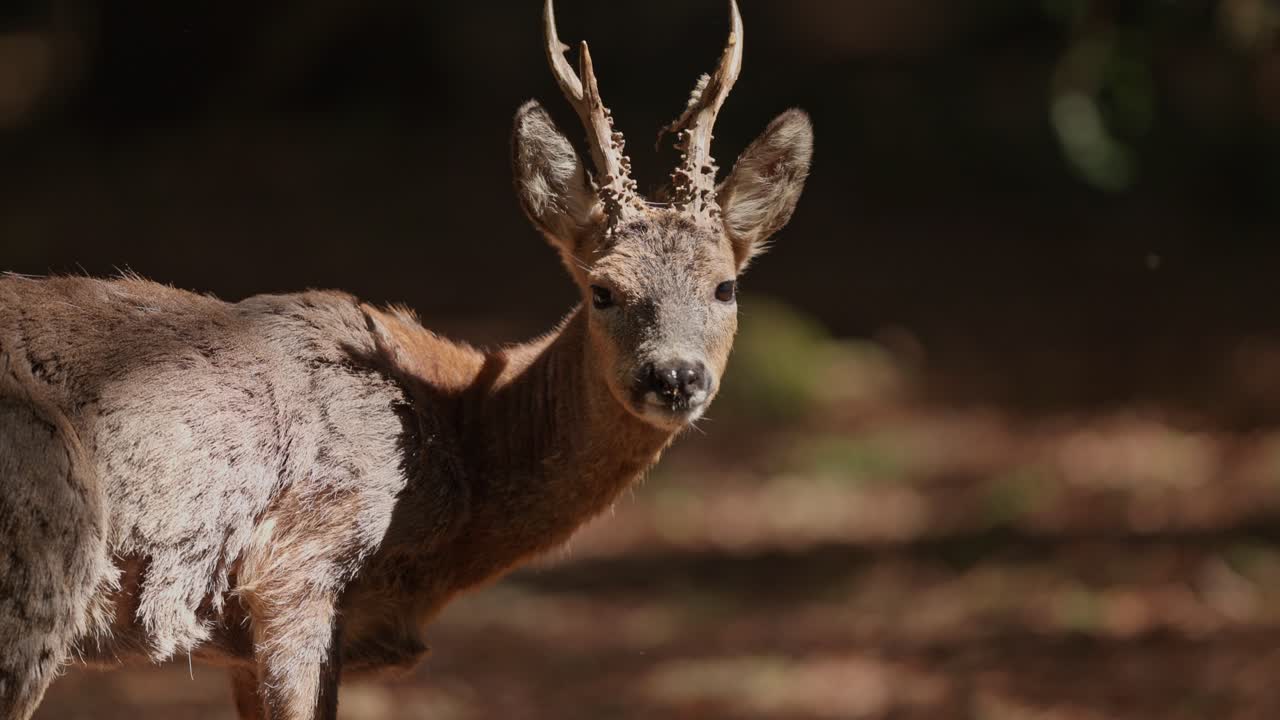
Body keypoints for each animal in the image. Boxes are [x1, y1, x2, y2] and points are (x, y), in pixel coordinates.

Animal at [0, 1, 811, 718]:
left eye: (725, 285)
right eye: (603, 289)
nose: (673, 375)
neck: (460, 440)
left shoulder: (240, 642)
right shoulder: (298, 568)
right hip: (44, 548)